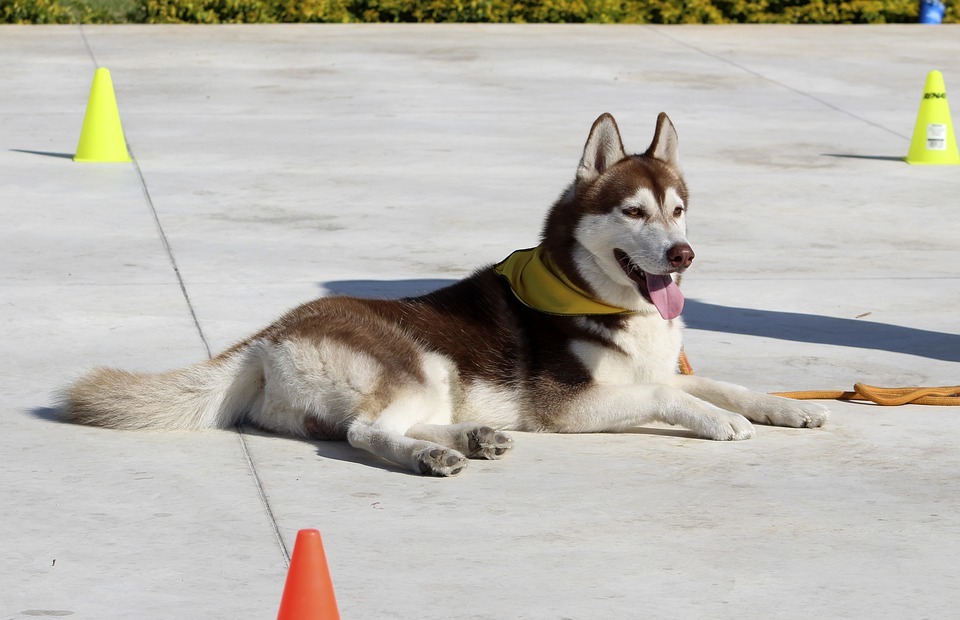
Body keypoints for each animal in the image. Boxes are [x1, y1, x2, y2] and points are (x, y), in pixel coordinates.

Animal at [62, 114, 824, 478]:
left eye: (678, 210)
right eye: (634, 213)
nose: (682, 255)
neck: (597, 299)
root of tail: (267, 336)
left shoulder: (653, 369)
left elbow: (721, 382)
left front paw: (786, 407)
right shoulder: (571, 407)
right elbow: (674, 394)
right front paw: (718, 421)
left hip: (435, 381)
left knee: (379, 424)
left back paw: (472, 436)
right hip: (419, 361)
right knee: (366, 431)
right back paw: (433, 457)